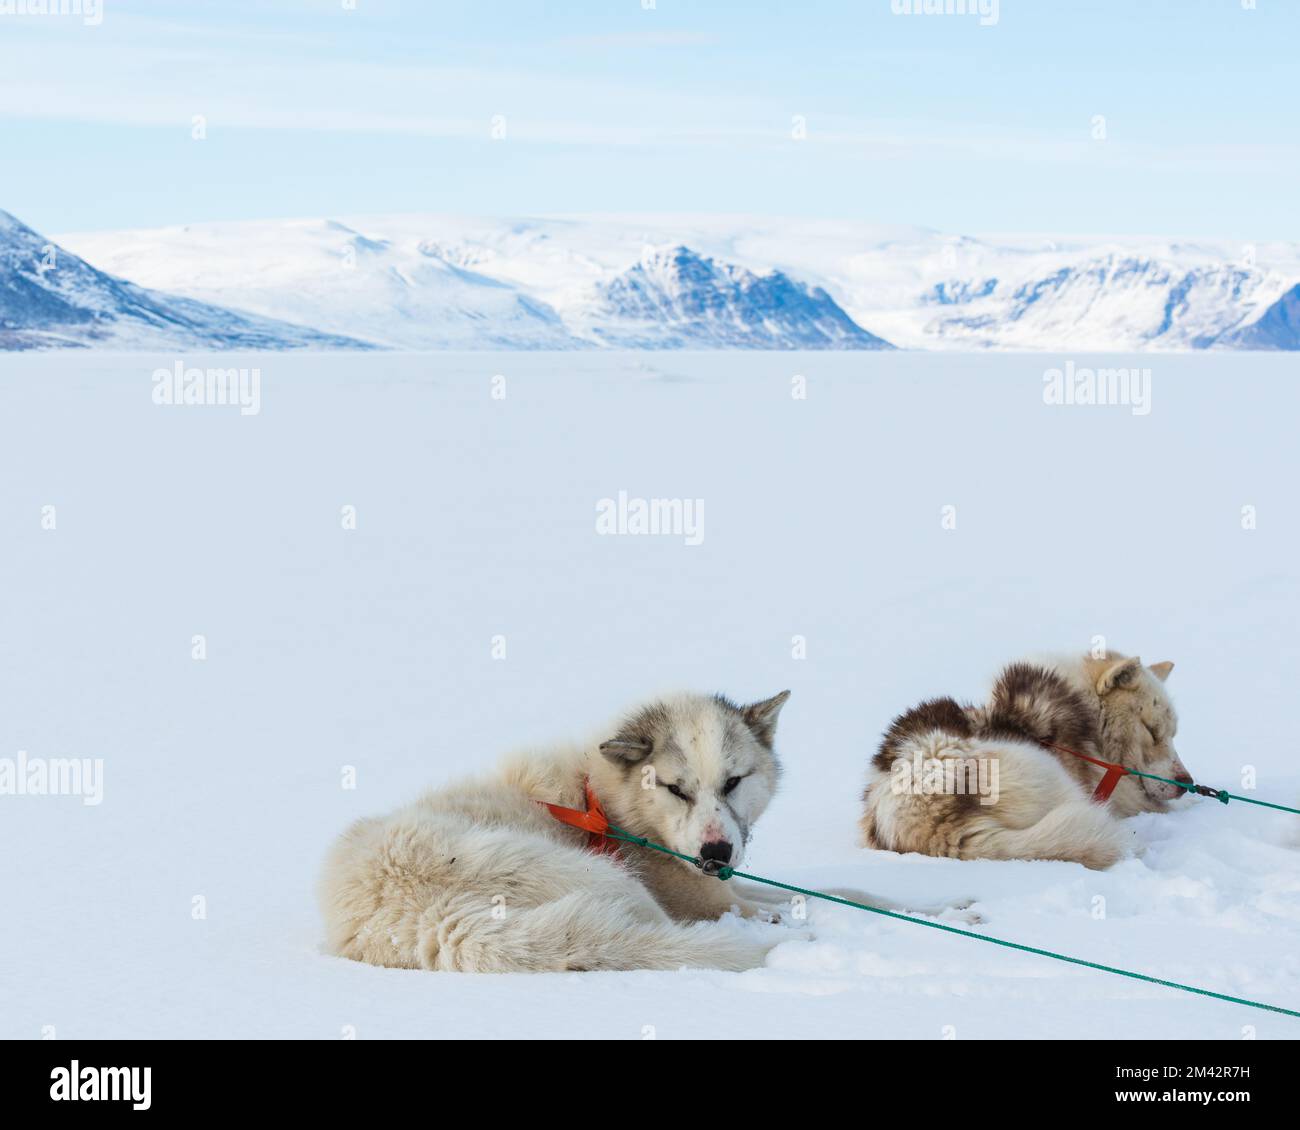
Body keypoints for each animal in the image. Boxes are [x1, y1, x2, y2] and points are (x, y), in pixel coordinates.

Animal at [323, 686, 935, 967]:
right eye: (675, 788)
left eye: (733, 781)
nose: (715, 853)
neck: (605, 802)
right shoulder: (709, 897)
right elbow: (806, 901)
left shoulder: (725, 883)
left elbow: (850, 890)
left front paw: (933, 907)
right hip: (610, 882)